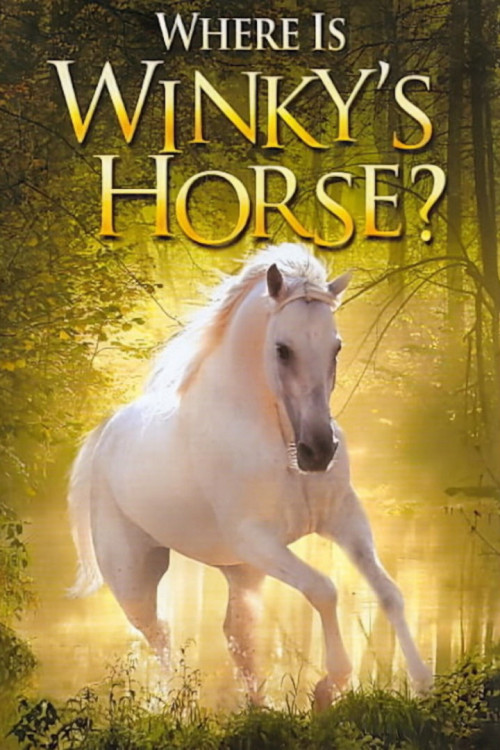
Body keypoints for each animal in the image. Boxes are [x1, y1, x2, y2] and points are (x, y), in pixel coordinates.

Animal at [68, 242, 432, 709]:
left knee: (235, 631)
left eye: (336, 347)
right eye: (282, 349)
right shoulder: (257, 540)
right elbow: (324, 589)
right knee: (159, 633)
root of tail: (105, 431)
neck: (280, 443)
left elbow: (389, 592)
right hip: (133, 575)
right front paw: (329, 685)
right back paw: (177, 707)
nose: (318, 452)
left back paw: (261, 707)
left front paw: (424, 682)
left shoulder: (344, 519)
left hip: (240, 570)